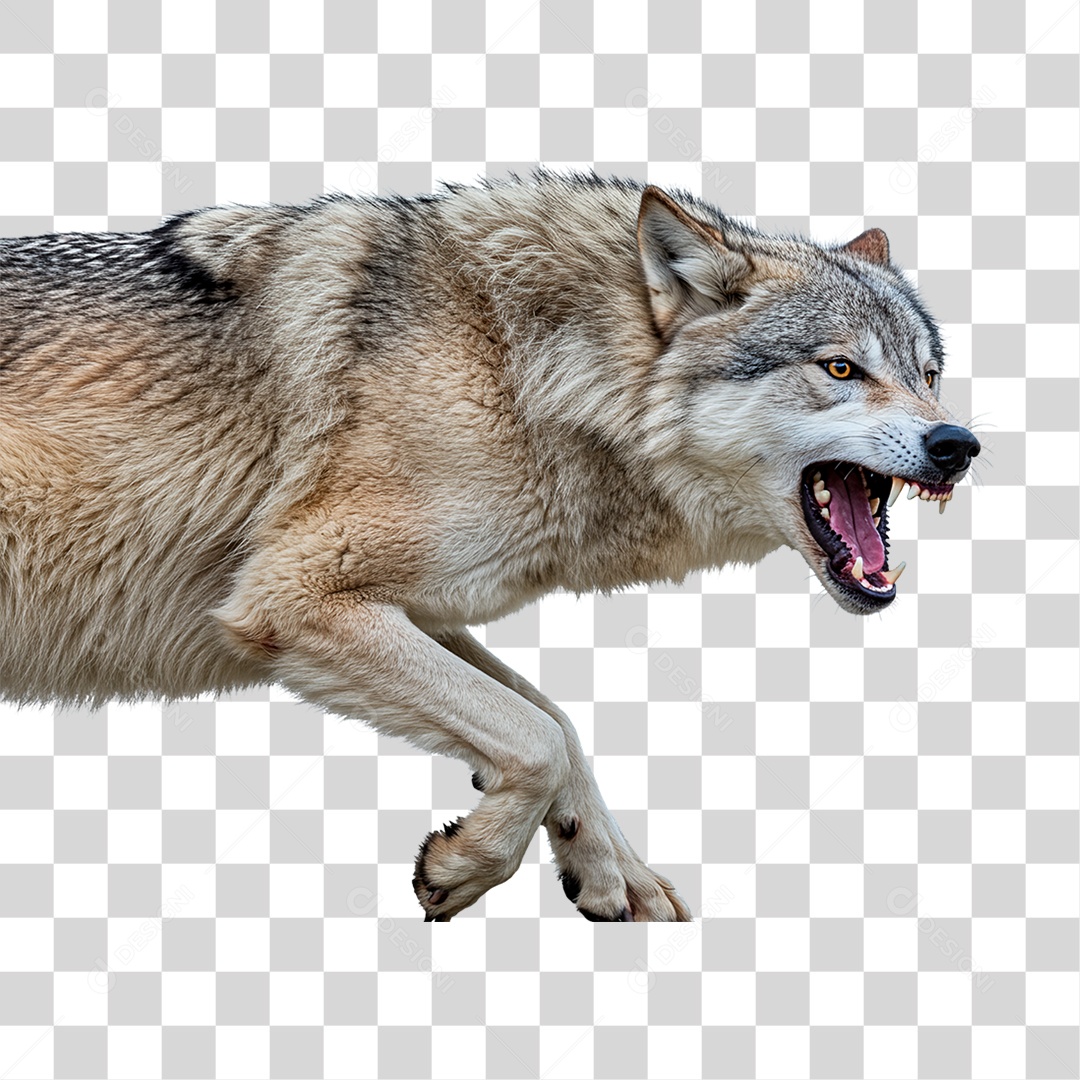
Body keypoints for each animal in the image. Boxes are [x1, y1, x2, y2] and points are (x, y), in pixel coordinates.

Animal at [0, 171, 979, 921]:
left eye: (929, 374)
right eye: (841, 368)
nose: (958, 445)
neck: (519, 364)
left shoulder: (419, 607)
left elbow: (555, 722)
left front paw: (609, 875)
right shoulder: (295, 596)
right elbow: (535, 738)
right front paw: (462, 868)